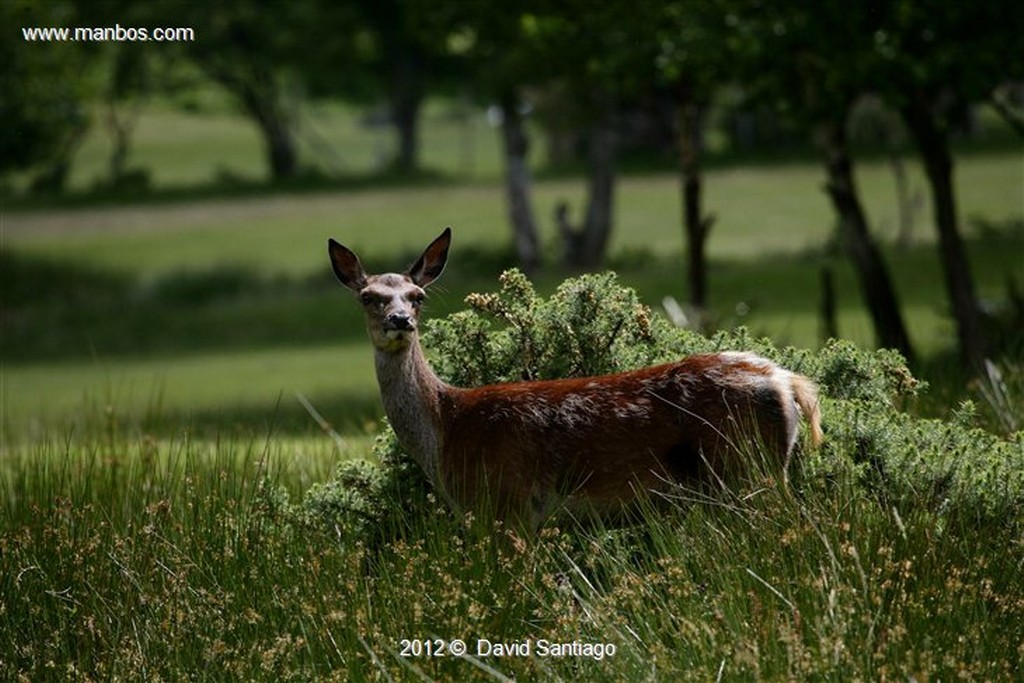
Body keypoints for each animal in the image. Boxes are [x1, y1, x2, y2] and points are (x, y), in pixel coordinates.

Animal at [327, 229, 823, 532]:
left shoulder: (509, 502)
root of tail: (786, 380)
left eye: (418, 296)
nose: (400, 320)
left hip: (748, 466)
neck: (448, 427)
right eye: (369, 296)